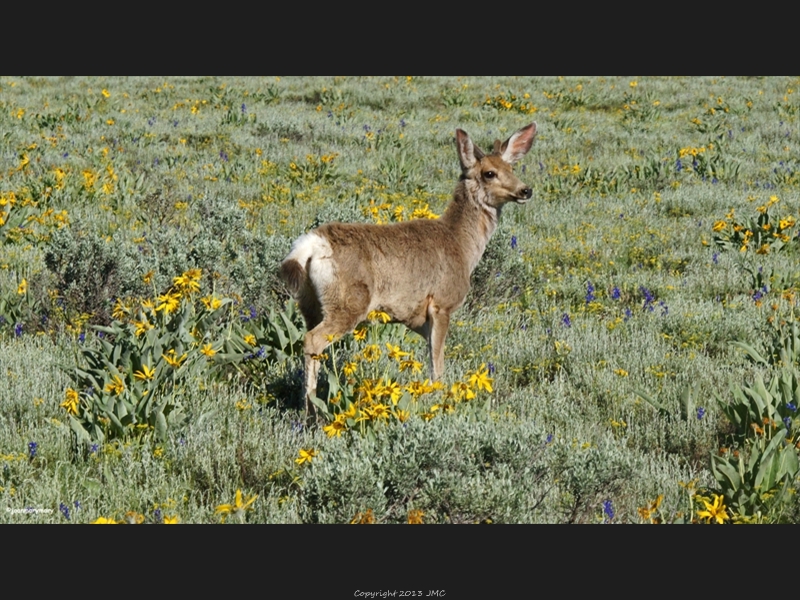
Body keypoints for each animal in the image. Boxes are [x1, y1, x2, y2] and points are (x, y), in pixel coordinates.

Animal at [282, 122, 536, 412]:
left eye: (512, 168)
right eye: (489, 173)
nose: (526, 190)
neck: (461, 245)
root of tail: (312, 244)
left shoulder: (419, 319)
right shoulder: (442, 304)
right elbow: (437, 363)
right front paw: (440, 398)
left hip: (309, 303)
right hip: (348, 303)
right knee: (312, 340)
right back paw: (311, 410)